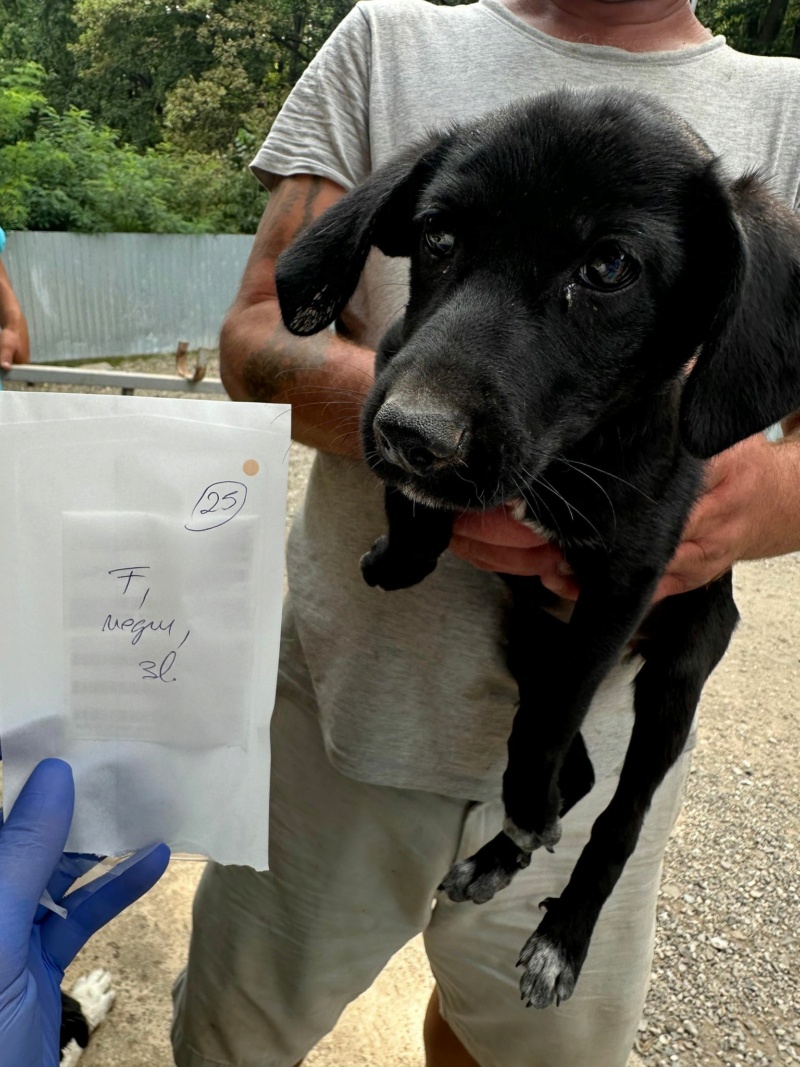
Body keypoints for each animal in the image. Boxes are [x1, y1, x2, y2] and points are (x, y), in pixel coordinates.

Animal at [275, 89, 800, 1007]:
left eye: (609, 268)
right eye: (438, 236)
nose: (413, 435)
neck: (572, 453)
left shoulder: (624, 581)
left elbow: (552, 725)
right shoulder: (394, 359)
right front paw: (403, 548)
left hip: (674, 674)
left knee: (615, 812)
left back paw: (561, 927)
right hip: (525, 634)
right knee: (577, 771)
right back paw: (504, 848)